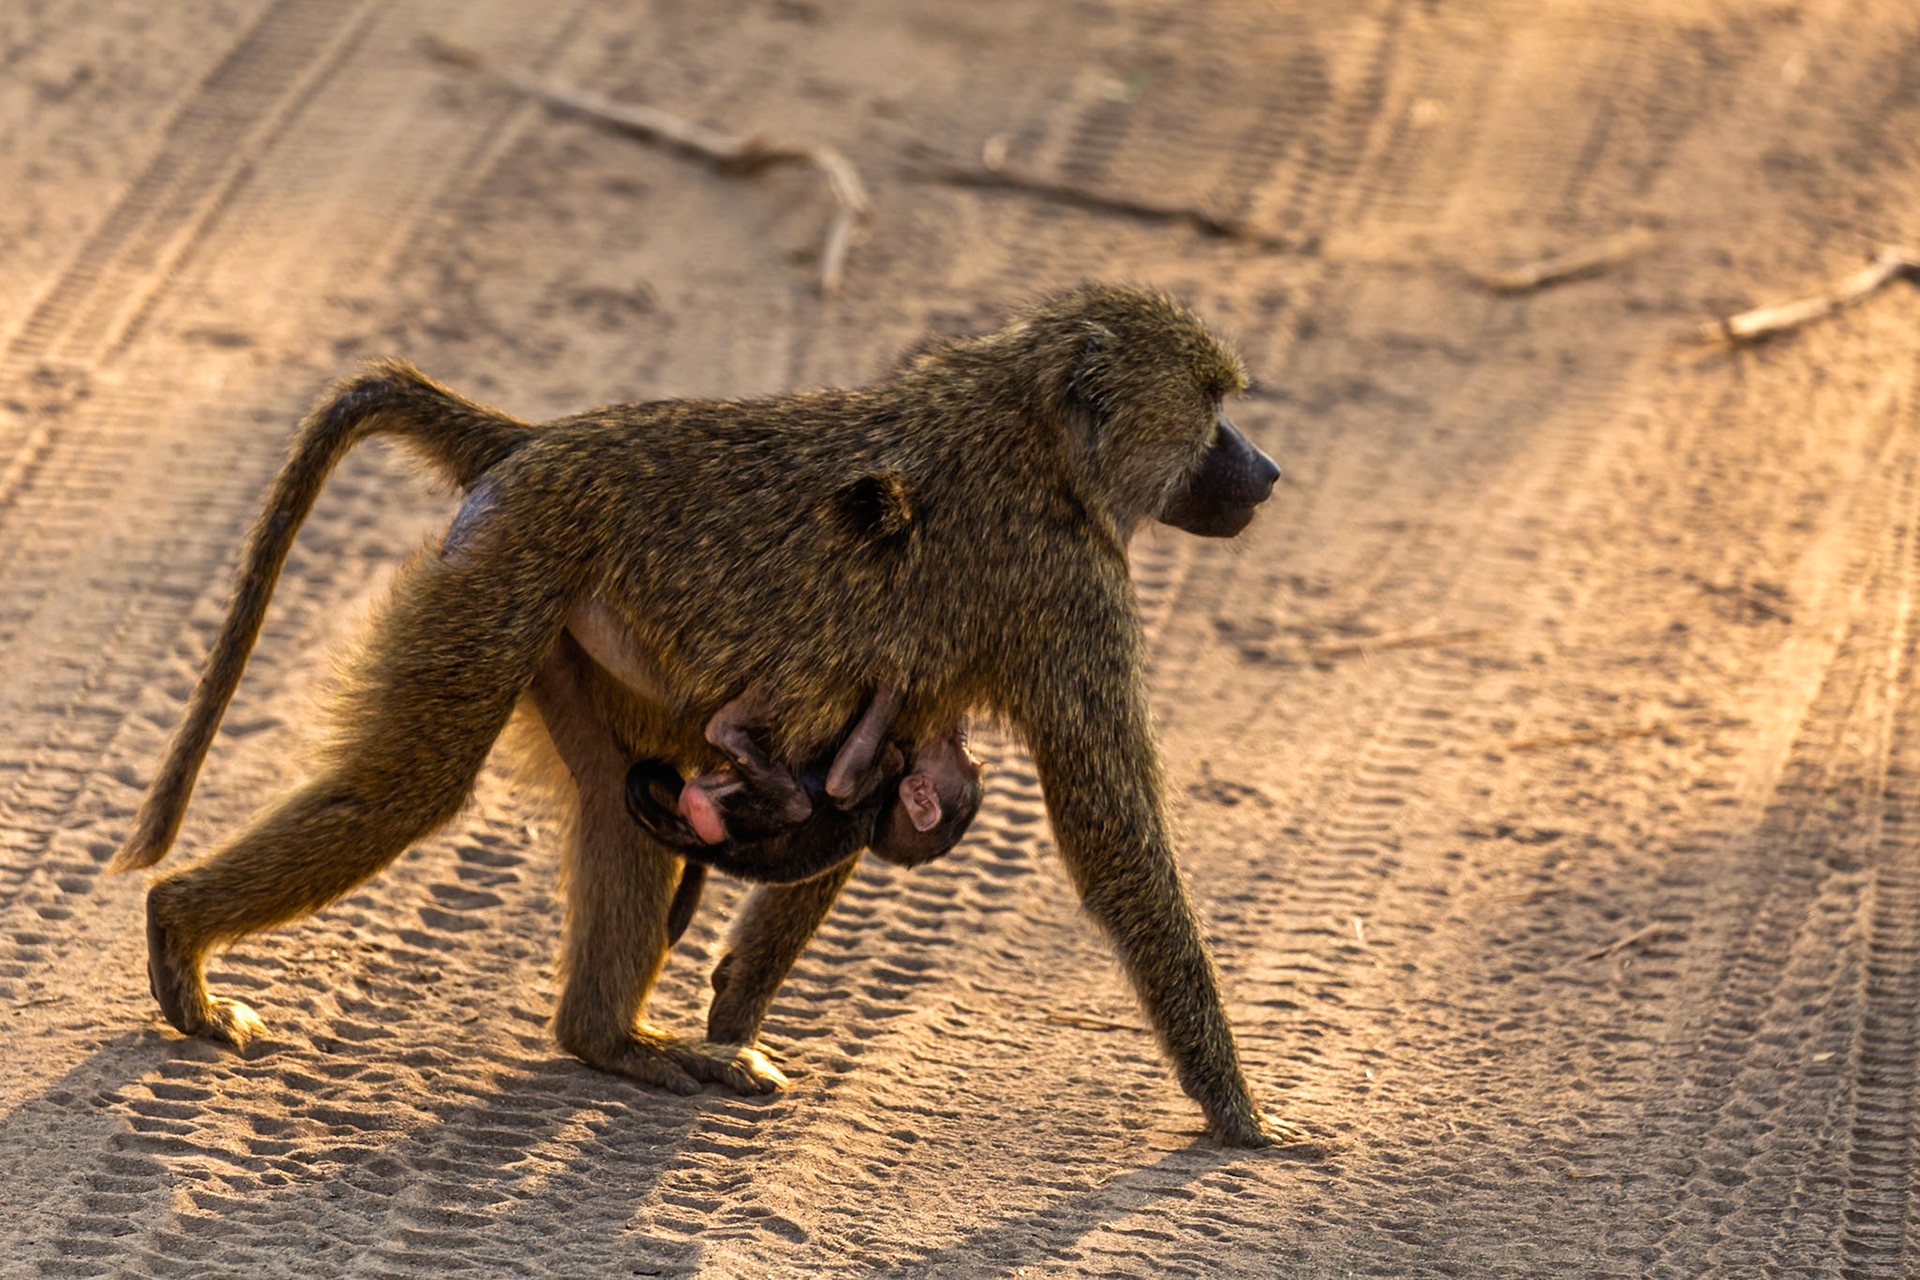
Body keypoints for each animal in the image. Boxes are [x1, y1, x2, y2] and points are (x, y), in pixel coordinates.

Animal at [112, 285, 1293, 1145]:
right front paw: (1244, 1117)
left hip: (554, 616)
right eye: (1214, 412)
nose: (1272, 471)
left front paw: (733, 1008)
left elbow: (847, 806)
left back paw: (612, 1041)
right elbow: (1114, 844)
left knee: (611, 808)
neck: (1034, 427)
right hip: (509, 564)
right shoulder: (1073, 589)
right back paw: (178, 936)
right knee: (410, 789)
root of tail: (539, 440)